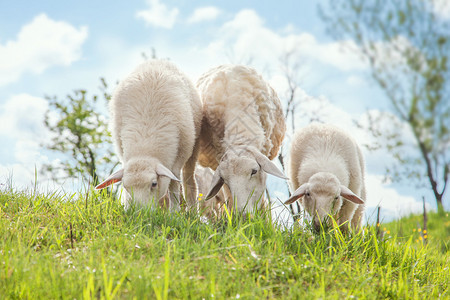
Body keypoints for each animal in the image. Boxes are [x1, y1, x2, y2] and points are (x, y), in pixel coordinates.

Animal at [95, 59, 202, 211]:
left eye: (154, 184)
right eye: (125, 186)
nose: (139, 213)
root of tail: (156, 61)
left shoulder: (178, 159)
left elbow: (174, 186)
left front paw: (174, 212)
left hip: (194, 147)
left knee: (189, 180)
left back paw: (192, 211)